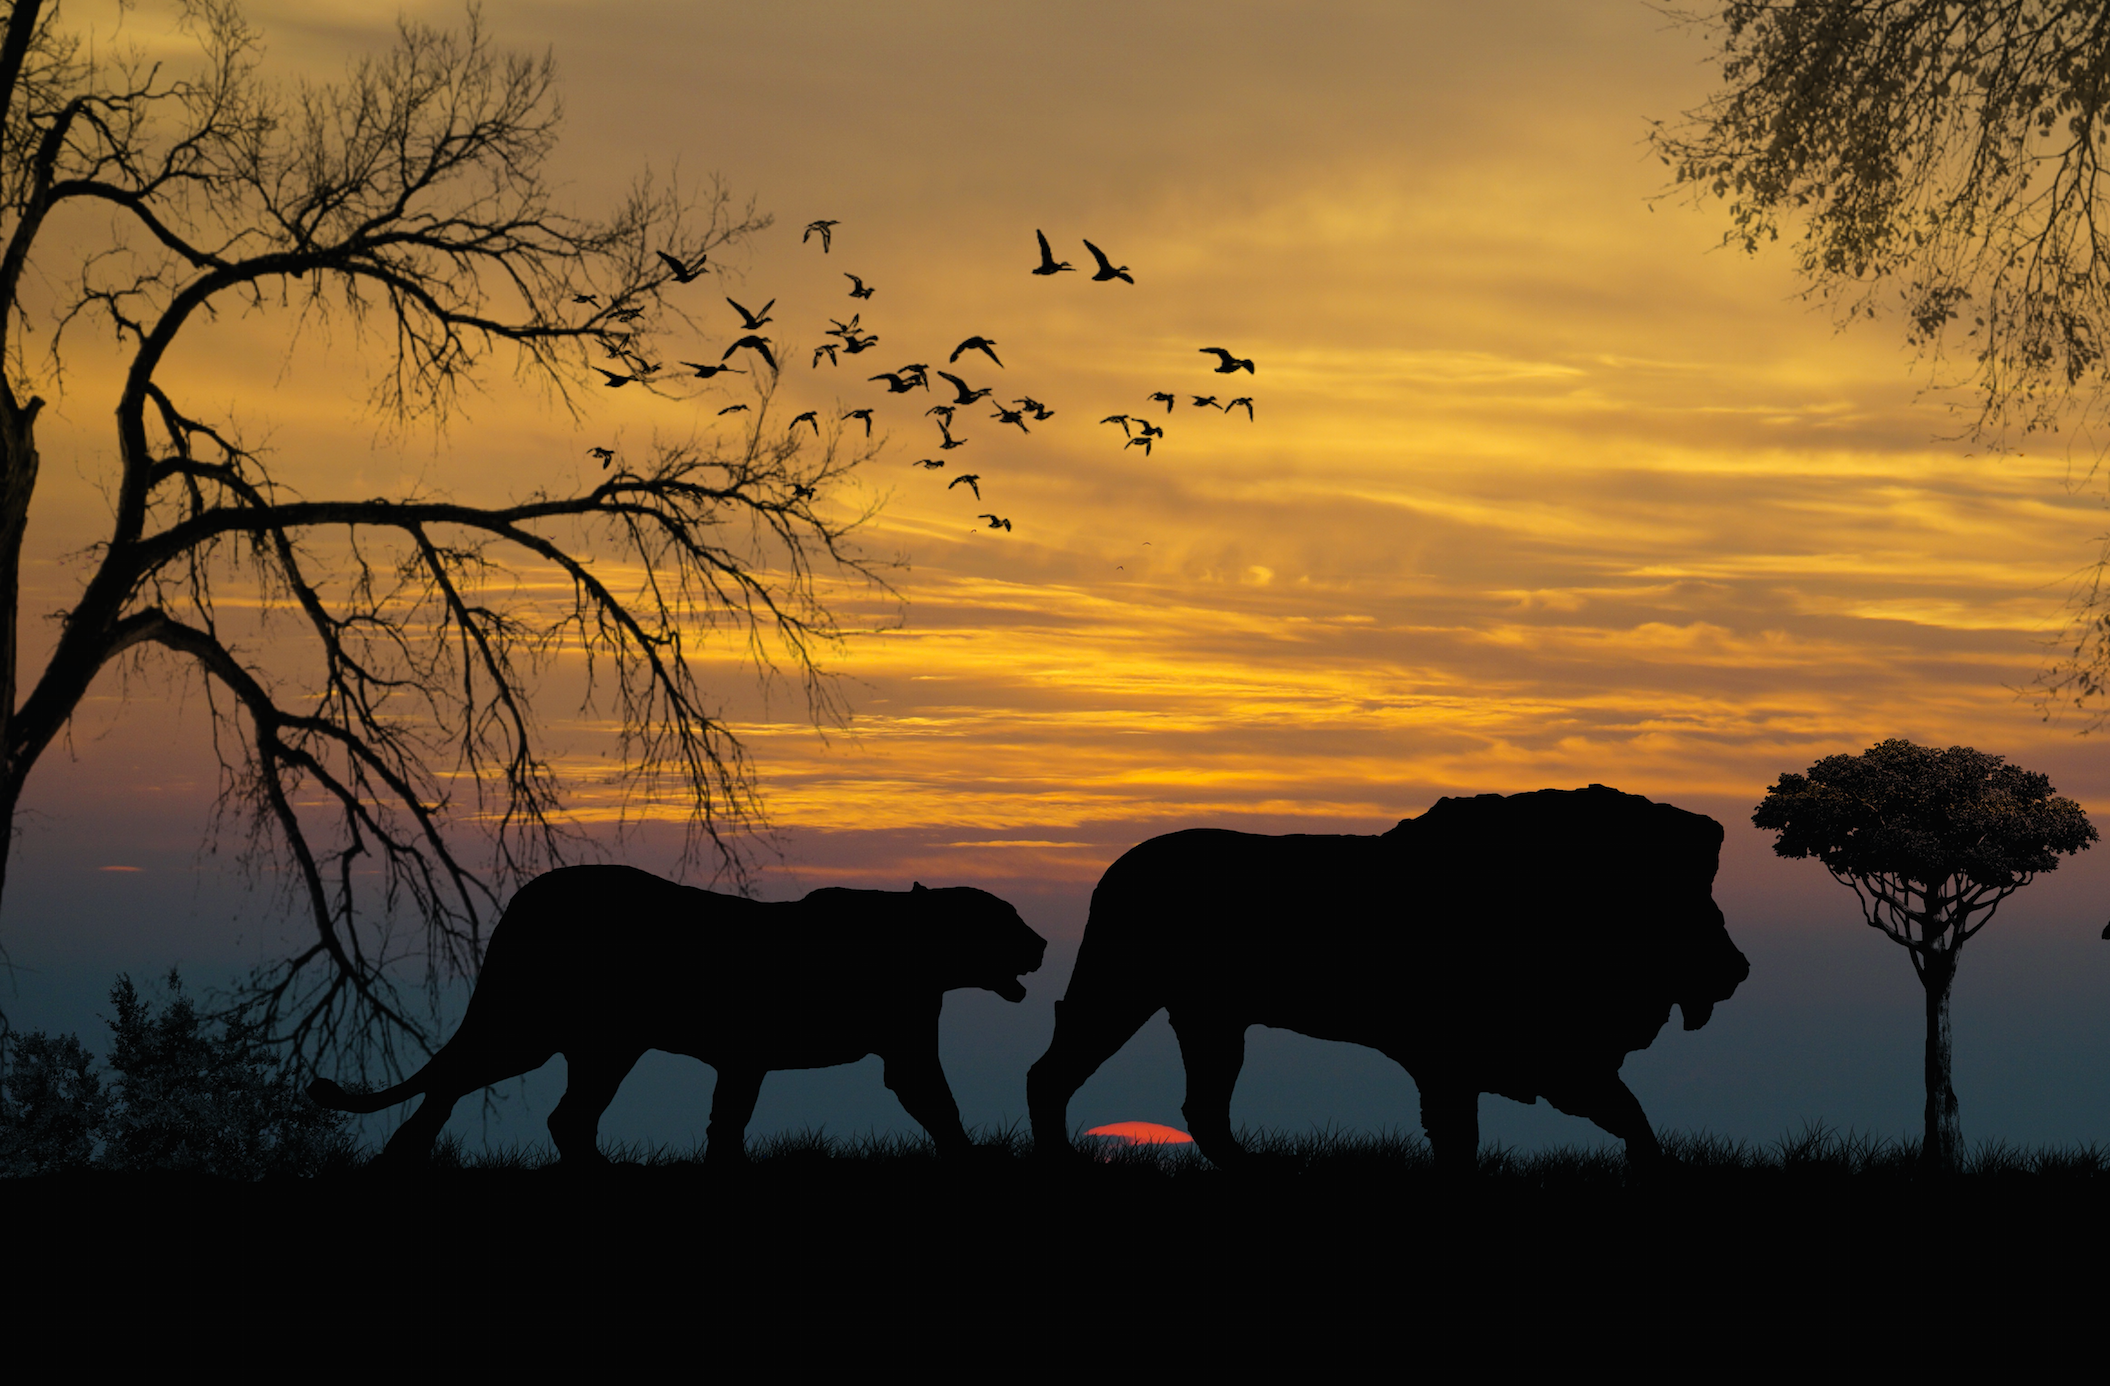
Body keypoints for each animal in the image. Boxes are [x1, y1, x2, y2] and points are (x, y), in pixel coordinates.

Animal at [310, 866, 1047, 1166]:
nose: (1041, 943)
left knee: (505, 1097)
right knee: (493, 1091)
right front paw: (973, 1158)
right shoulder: (907, 1050)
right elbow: (941, 1104)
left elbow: (728, 1121)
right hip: (551, 1031)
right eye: (1006, 918)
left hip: (581, 1042)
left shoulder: (748, 1060)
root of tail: (526, 899)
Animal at [1026, 785, 1749, 1172]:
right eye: (1695, 901)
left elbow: (1629, 1116)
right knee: (1054, 1072)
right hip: (1120, 994)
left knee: (1201, 1106)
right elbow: (1469, 1140)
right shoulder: (1476, 1065)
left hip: (1209, 1021)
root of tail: (1117, 873)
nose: (1736, 969)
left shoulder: (1546, 1066)